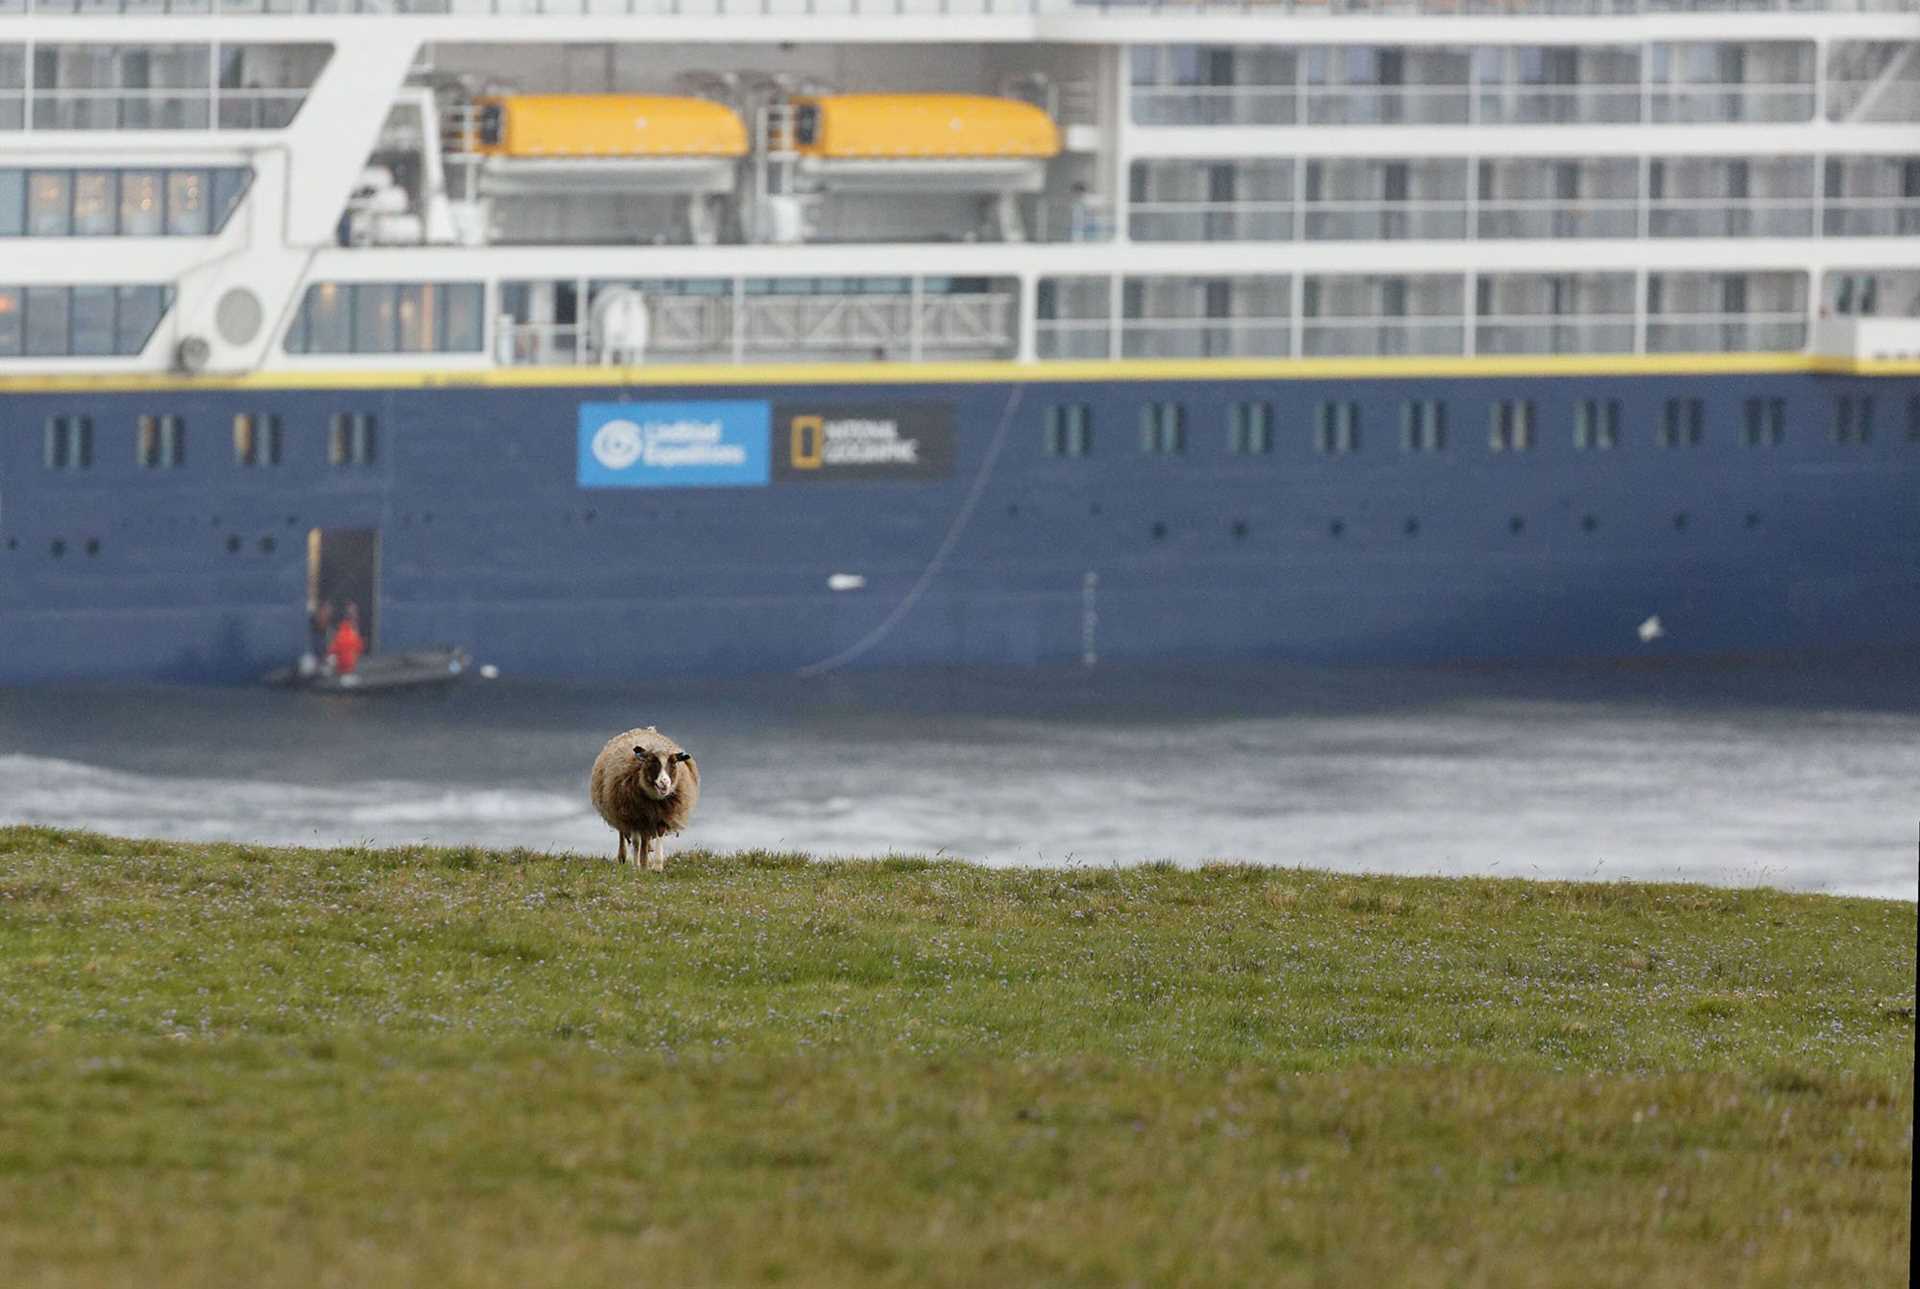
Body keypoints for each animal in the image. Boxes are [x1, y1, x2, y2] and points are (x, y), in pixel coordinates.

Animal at [591, 726, 706, 875]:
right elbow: (638, 842)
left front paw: (657, 866)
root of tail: (642, 729)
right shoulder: (635, 816)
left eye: (674, 762)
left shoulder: (662, 814)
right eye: (652, 762)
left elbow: (659, 835)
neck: (654, 799)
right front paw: (640, 866)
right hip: (619, 809)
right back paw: (626, 859)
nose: (665, 783)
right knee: (626, 836)